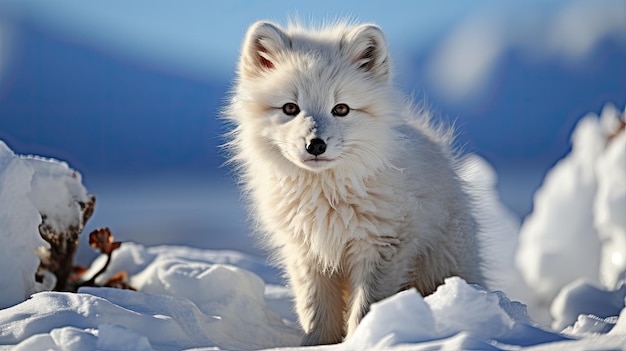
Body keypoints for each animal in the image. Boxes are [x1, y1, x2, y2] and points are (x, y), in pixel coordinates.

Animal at [224, 21, 482, 346]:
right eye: (290, 108)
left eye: (342, 109)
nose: (315, 144)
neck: (326, 196)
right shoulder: (307, 253)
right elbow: (316, 311)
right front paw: (316, 345)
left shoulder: (381, 247)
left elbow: (366, 307)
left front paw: (364, 339)